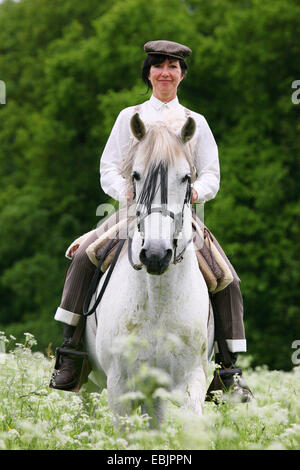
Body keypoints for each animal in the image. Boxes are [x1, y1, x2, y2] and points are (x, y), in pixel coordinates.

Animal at [84, 112, 213, 420]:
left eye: (186, 177)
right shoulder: (119, 387)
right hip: (90, 388)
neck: (158, 299)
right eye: (136, 175)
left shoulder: (190, 377)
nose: (155, 254)